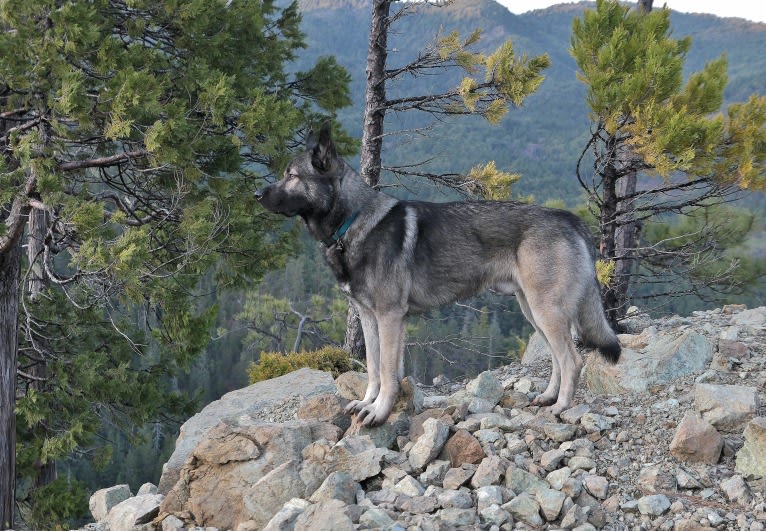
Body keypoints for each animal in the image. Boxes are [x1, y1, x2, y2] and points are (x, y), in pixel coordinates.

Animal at [258, 123, 624, 428]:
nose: (257, 195)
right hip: (533, 312)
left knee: (572, 361)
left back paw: (560, 407)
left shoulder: (389, 318)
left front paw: (380, 412)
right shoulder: (370, 318)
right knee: (558, 360)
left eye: (292, 175)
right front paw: (367, 403)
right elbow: (375, 369)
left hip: (546, 311)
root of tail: (571, 219)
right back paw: (548, 397)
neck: (353, 221)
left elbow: (388, 373)